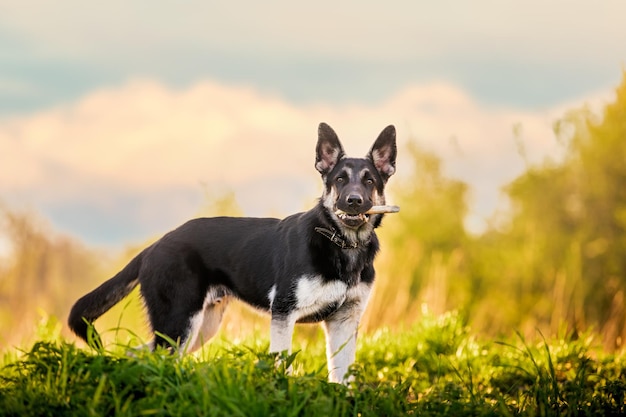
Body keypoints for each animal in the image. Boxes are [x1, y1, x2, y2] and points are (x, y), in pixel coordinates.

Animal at [68, 122, 394, 382]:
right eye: (340, 179)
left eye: (369, 181)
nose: (354, 201)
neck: (342, 243)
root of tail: (156, 244)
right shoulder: (284, 314)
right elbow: (282, 365)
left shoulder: (344, 322)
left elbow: (343, 376)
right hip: (179, 323)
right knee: (153, 357)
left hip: (199, 328)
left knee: (140, 353)